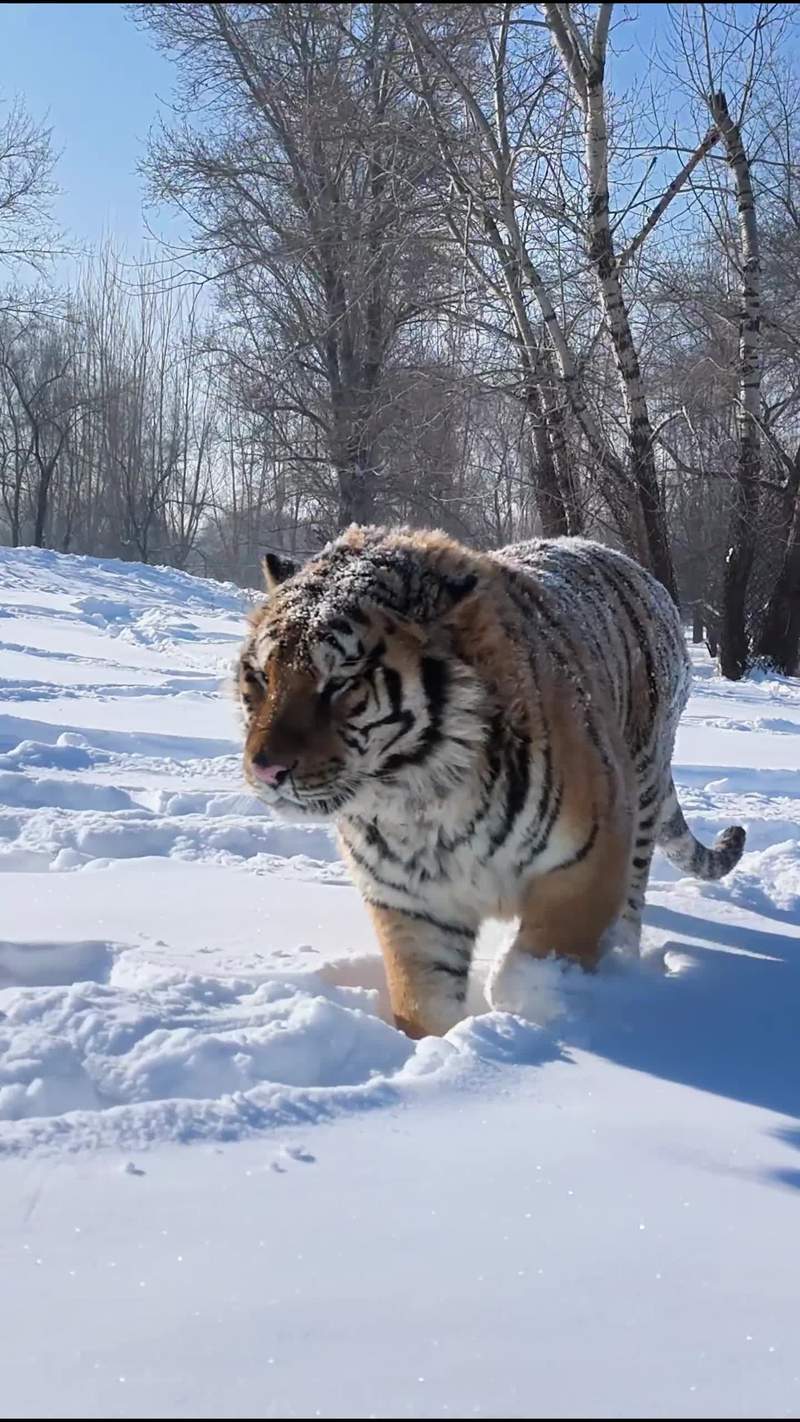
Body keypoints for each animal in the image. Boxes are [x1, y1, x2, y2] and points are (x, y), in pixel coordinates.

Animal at [236, 525, 746, 1039]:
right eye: (261, 677)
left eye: (341, 683)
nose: (265, 769)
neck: (421, 798)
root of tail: (638, 571)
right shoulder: (412, 903)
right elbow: (423, 1002)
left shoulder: (585, 861)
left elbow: (539, 957)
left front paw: (529, 1010)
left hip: (642, 780)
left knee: (633, 893)